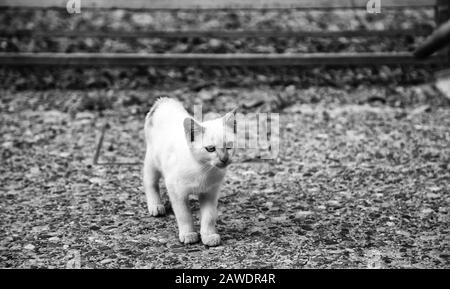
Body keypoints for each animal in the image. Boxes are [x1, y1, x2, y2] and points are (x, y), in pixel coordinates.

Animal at [144, 97, 237, 245]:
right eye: (210, 149)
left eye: (228, 146)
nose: (224, 159)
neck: (203, 170)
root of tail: (165, 101)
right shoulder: (175, 191)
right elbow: (184, 215)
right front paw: (188, 234)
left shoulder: (210, 193)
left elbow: (209, 216)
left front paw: (208, 236)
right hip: (152, 161)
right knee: (149, 182)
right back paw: (155, 205)